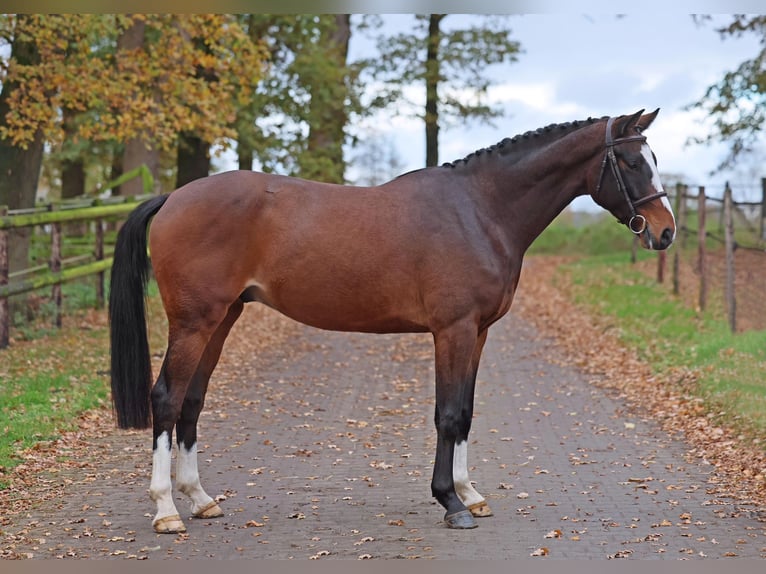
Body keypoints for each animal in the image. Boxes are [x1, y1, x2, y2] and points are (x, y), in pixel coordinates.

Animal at [109, 109, 680, 536]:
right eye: (631, 160)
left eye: (654, 158)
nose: (666, 232)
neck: (480, 210)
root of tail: (174, 196)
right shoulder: (453, 330)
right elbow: (447, 414)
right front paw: (450, 503)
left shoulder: (478, 333)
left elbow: (466, 412)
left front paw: (470, 494)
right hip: (194, 322)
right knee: (166, 398)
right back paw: (166, 511)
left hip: (222, 318)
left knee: (192, 400)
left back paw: (201, 500)